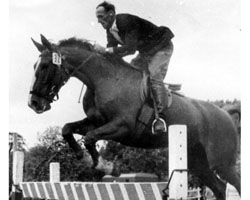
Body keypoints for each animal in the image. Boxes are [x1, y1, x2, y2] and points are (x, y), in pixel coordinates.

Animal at [27, 35, 240, 199]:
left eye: (45, 66)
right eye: (34, 65)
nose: (33, 103)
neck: (104, 79)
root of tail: (227, 114)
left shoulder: (123, 127)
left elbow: (90, 138)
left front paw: (106, 166)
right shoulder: (96, 122)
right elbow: (68, 129)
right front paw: (82, 156)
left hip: (223, 164)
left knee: (233, 183)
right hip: (198, 162)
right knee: (219, 188)